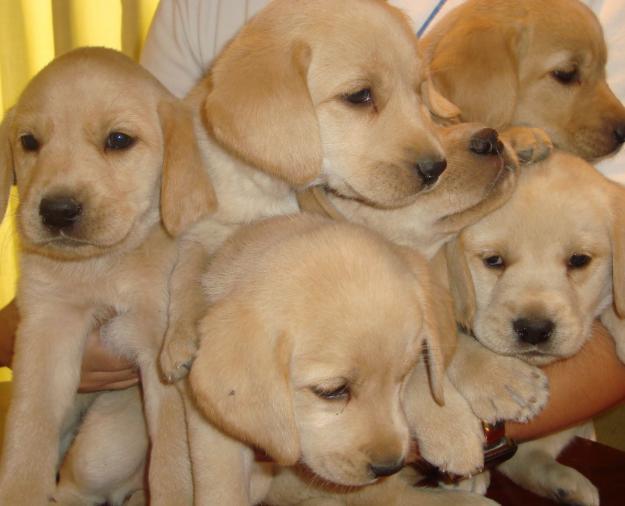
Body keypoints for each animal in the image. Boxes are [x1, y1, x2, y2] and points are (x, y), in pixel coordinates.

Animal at [0, 47, 216, 506]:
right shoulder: (46, 331)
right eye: (29, 142)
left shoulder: (157, 350)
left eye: (118, 140)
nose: (57, 211)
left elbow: (172, 465)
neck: (103, 264)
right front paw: (20, 489)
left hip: (108, 440)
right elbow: (28, 432)